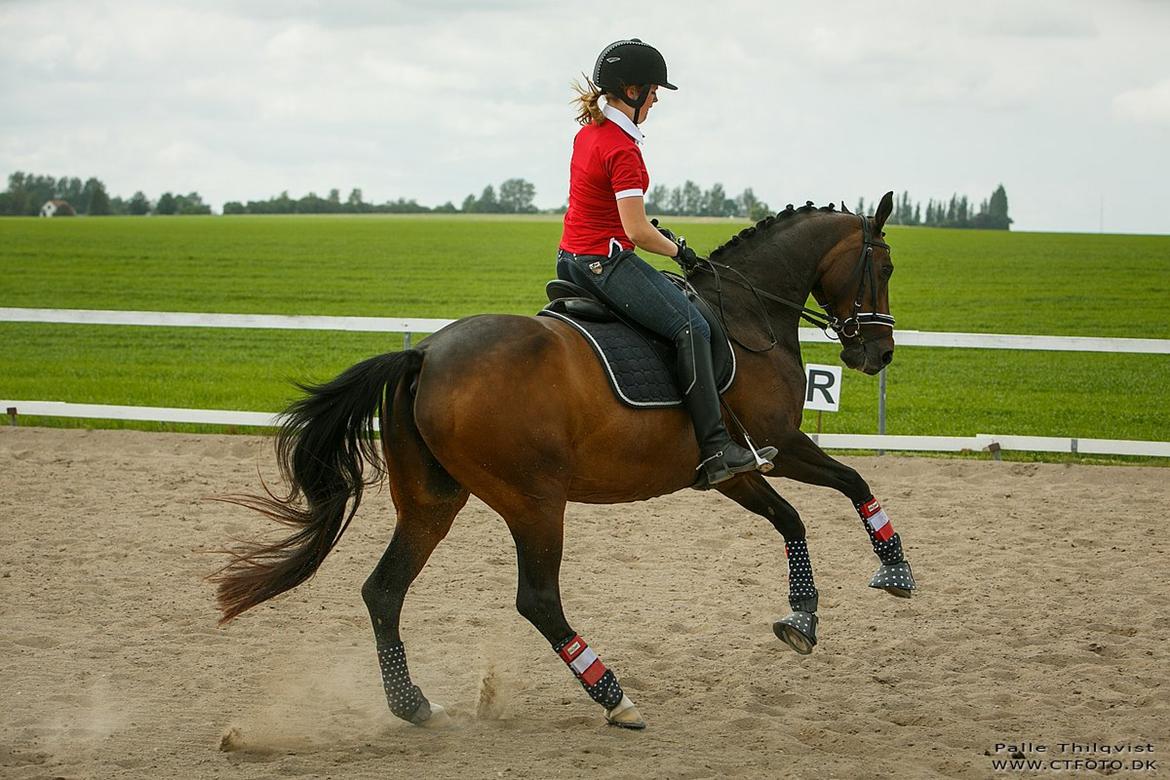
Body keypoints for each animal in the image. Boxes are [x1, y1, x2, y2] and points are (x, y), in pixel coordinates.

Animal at [217, 190, 912, 734]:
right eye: (885, 265)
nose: (877, 355)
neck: (745, 312)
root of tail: (425, 355)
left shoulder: (736, 469)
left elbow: (793, 519)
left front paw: (803, 616)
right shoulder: (778, 443)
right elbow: (852, 480)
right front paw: (896, 571)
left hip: (431, 502)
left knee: (383, 591)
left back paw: (415, 706)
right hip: (534, 501)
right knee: (538, 601)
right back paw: (614, 696)